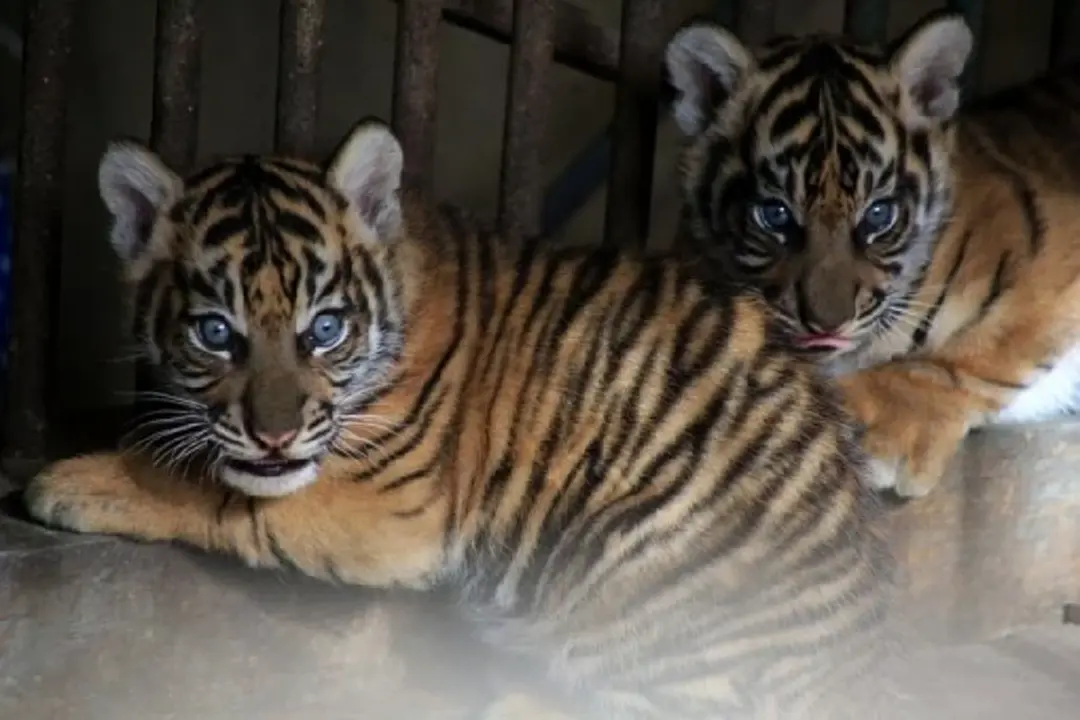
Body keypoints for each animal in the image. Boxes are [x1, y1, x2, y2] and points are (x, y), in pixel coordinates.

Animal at [22, 117, 892, 719]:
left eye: (324, 330)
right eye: (214, 333)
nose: (274, 434)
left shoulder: (391, 507)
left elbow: (219, 488)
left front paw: (74, 482)